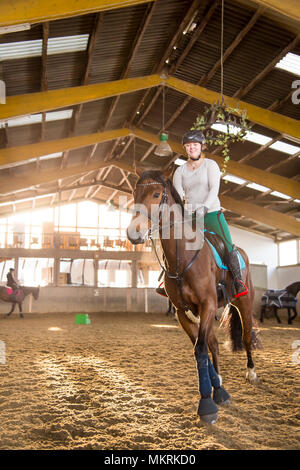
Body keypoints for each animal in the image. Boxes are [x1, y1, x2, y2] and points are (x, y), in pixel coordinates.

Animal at [126, 170, 260, 426]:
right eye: (134, 194)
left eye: (156, 194)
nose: (133, 233)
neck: (183, 256)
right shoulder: (182, 312)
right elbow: (200, 348)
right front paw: (216, 392)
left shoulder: (207, 305)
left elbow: (200, 349)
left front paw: (206, 404)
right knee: (213, 344)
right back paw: (220, 384)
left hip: (243, 303)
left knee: (247, 336)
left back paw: (251, 372)